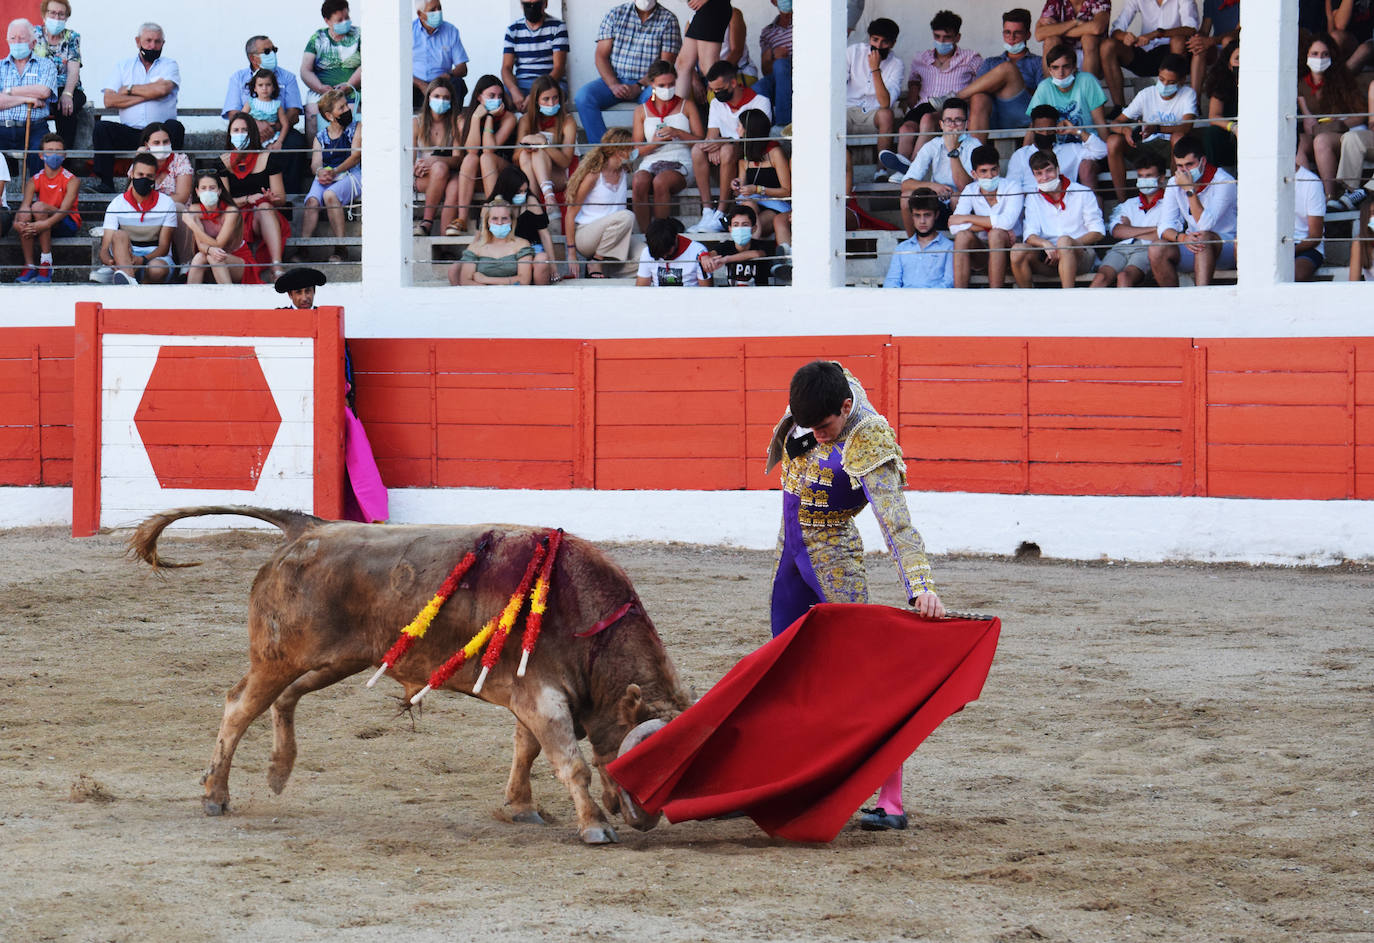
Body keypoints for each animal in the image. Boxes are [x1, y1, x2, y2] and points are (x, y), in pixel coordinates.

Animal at [129, 505, 692, 846]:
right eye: (641, 761)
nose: (647, 819)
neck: (588, 622)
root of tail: (308, 528)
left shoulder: (532, 698)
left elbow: (526, 751)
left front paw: (520, 807)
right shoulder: (542, 697)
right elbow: (569, 762)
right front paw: (594, 826)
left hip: (340, 660)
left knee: (285, 700)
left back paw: (278, 771)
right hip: (279, 657)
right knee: (240, 705)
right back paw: (215, 796)